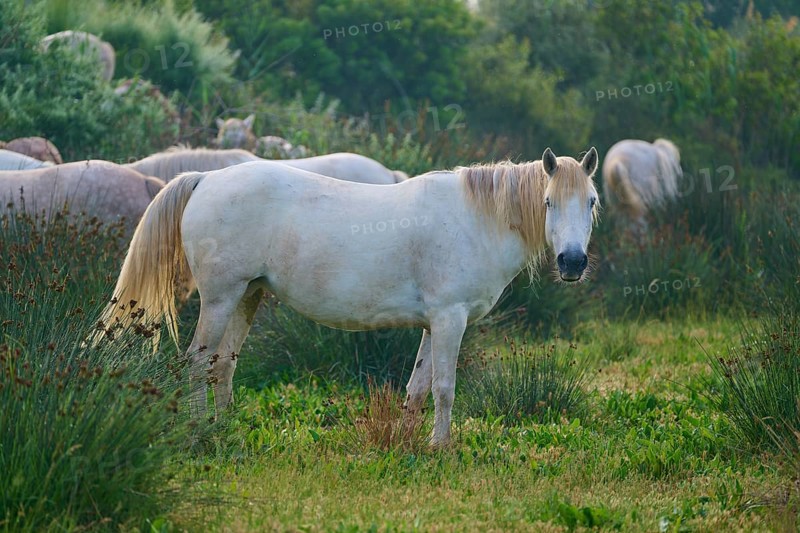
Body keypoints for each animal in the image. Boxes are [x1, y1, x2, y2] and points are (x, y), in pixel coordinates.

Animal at [101, 146, 599, 446]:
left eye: (591, 201)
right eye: (549, 202)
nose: (573, 262)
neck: (476, 219)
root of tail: (206, 179)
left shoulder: (432, 324)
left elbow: (417, 388)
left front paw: (408, 444)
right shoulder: (449, 319)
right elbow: (444, 388)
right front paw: (441, 447)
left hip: (247, 296)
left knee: (222, 365)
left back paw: (226, 432)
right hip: (221, 298)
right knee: (197, 362)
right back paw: (198, 433)